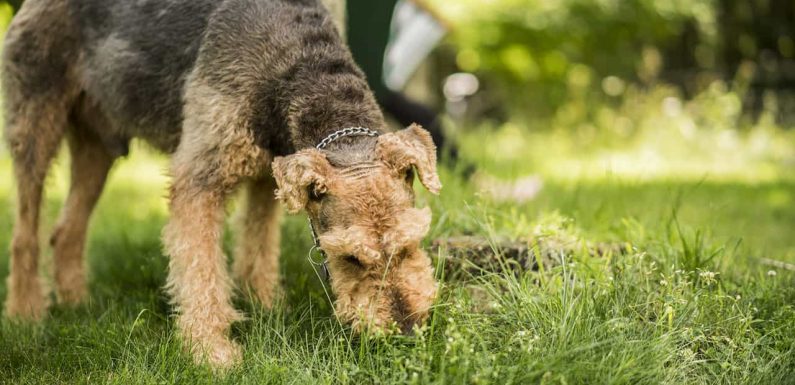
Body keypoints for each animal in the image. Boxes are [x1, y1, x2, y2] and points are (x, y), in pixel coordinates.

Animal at [3, 0, 442, 366]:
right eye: (350, 257)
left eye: (410, 243)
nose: (406, 331)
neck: (293, 60)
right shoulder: (199, 178)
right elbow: (201, 271)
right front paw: (211, 352)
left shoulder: (269, 174)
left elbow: (258, 246)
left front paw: (266, 305)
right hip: (35, 125)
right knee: (26, 234)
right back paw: (27, 313)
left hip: (99, 146)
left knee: (67, 231)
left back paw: (76, 304)